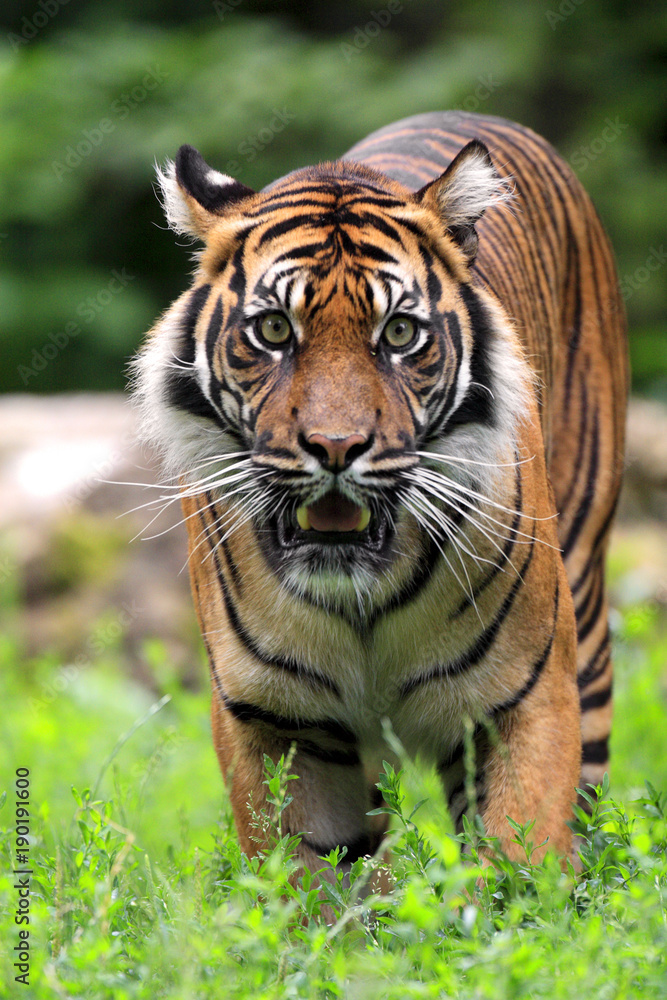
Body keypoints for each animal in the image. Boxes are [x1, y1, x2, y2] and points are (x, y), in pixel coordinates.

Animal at [133, 111, 628, 874]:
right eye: (273, 329)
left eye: (398, 333)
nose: (336, 447)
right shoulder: (273, 719)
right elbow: (301, 874)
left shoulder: (523, 697)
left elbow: (516, 859)